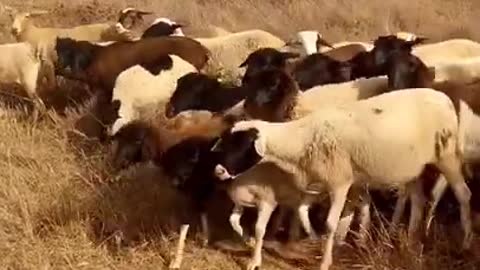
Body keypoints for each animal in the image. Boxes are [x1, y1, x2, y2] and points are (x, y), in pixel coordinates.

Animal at [213, 88, 472, 270]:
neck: (301, 139)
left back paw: (466, 243)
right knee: (418, 199)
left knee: (463, 194)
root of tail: (444, 98)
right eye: (225, 142)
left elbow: (330, 222)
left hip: (446, 155)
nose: (218, 171)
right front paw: (332, 245)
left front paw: (325, 261)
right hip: (412, 167)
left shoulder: (339, 182)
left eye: (243, 144)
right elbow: (325, 216)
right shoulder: (333, 184)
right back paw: (409, 242)